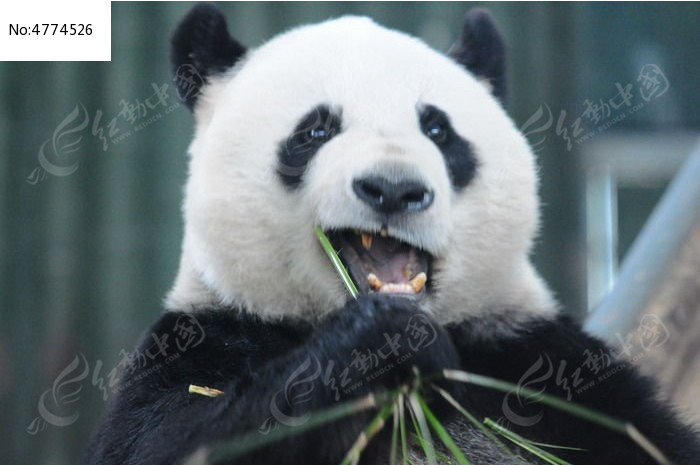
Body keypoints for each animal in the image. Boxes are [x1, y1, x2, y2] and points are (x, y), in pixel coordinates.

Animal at [86, 4, 700, 464]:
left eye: (438, 129)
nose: (393, 189)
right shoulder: (207, 337)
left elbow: (647, 438)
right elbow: (176, 441)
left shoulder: (544, 364)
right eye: (315, 131)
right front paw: (388, 340)